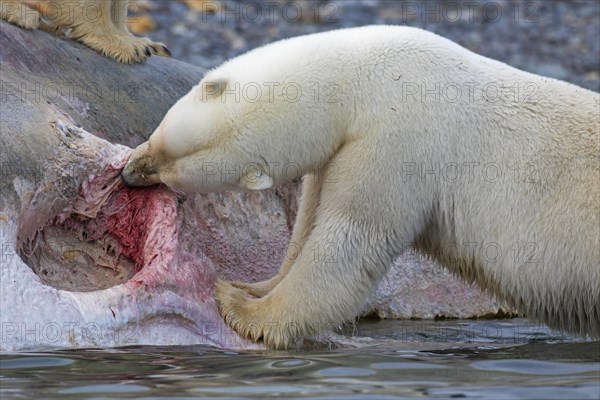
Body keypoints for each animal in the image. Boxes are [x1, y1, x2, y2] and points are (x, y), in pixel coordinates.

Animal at [122, 26, 600, 348]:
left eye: (174, 164)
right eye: (160, 136)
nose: (130, 171)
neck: (367, 77)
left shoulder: (397, 139)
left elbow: (352, 237)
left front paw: (243, 308)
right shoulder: (342, 149)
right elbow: (307, 222)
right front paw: (253, 285)